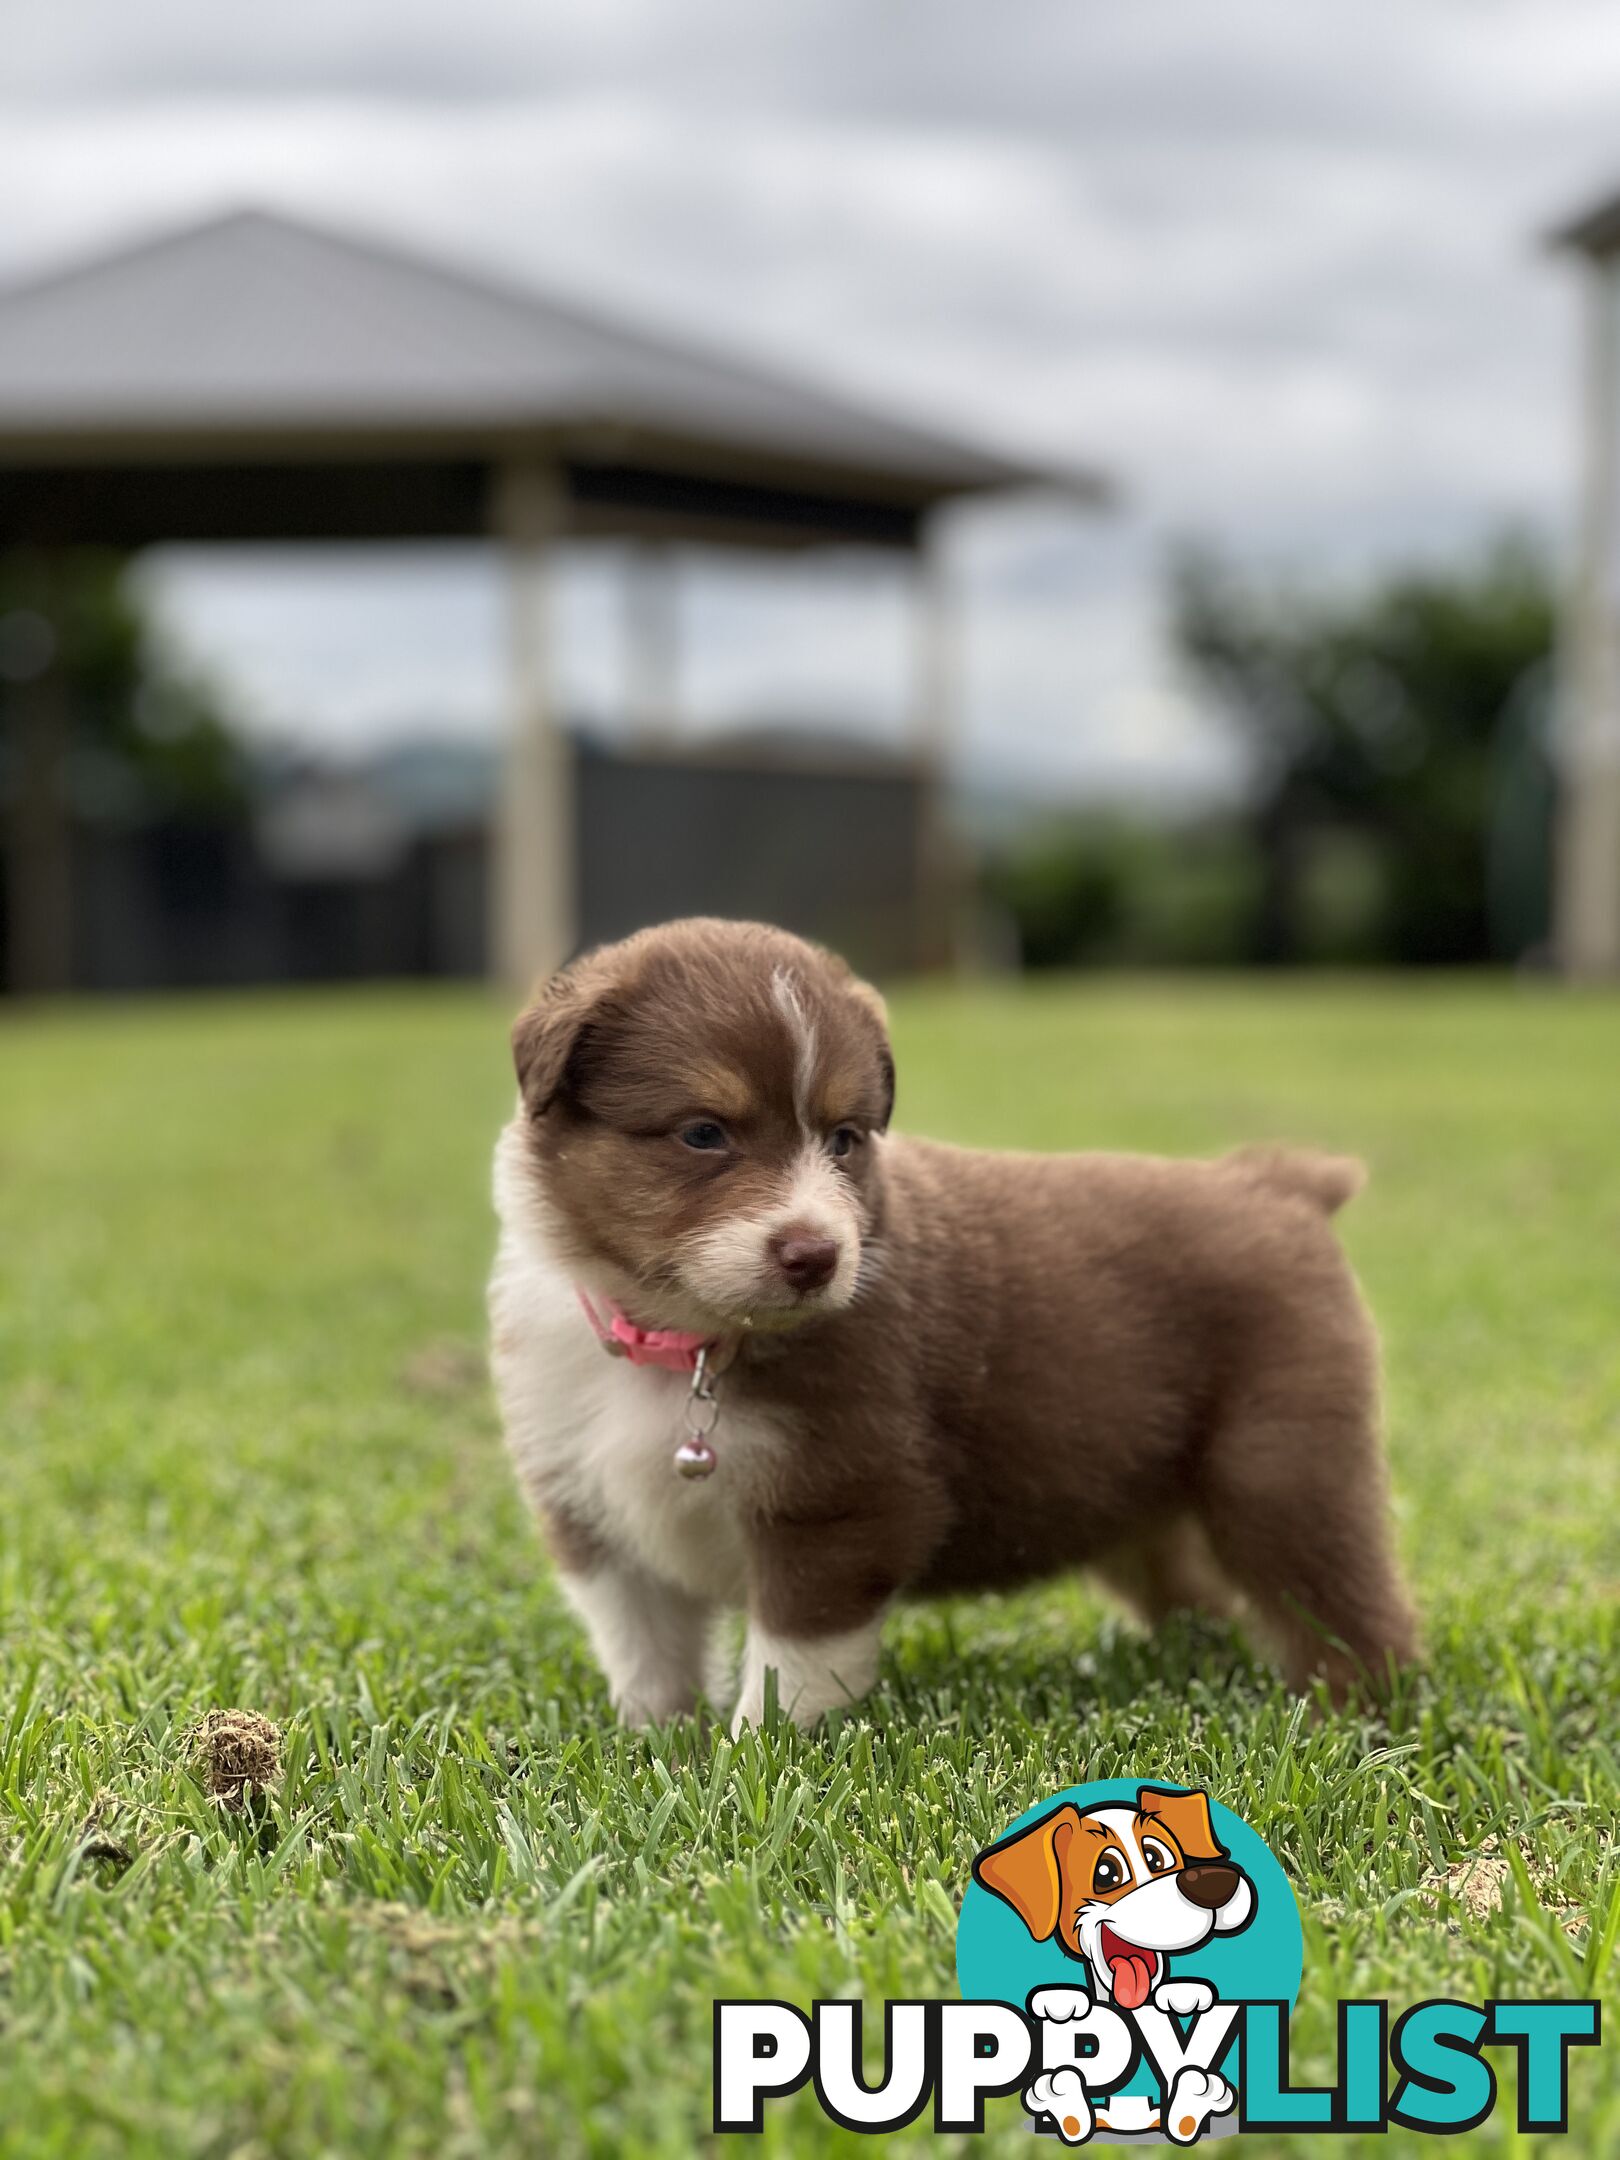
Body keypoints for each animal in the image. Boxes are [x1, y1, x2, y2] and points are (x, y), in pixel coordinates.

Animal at [492, 920, 1416, 1728]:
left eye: (844, 1139)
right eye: (702, 1133)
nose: (816, 1256)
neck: (681, 1342)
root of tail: (1277, 1186)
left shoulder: (841, 1500)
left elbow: (790, 1660)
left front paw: (758, 1755)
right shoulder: (588, 1505)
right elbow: (642, 1647)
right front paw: (654, 1742)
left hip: (1282, 1468)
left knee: (1348, 1608)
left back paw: (1352, 1719)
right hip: (1146, 1496)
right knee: (1198, 1593)